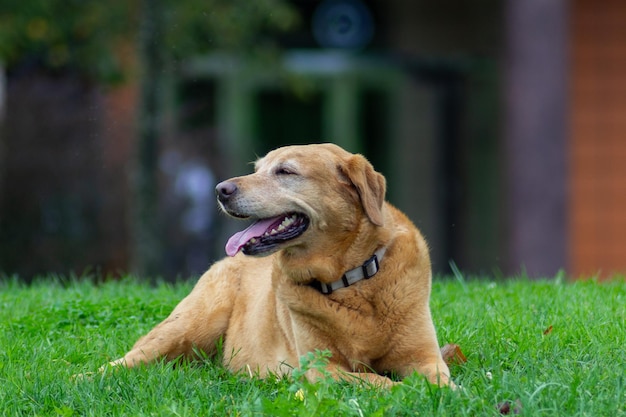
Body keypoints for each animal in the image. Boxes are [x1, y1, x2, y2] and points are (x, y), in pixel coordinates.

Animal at [107, 143, 448, 386]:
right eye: (257, 169)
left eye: (285, 171)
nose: (220, 189)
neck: (350, 281)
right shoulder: (322, 368)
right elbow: (378, 382)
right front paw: (402, 390)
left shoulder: (425, 356)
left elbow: (438, 380)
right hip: (189, 325)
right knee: (125, 360)